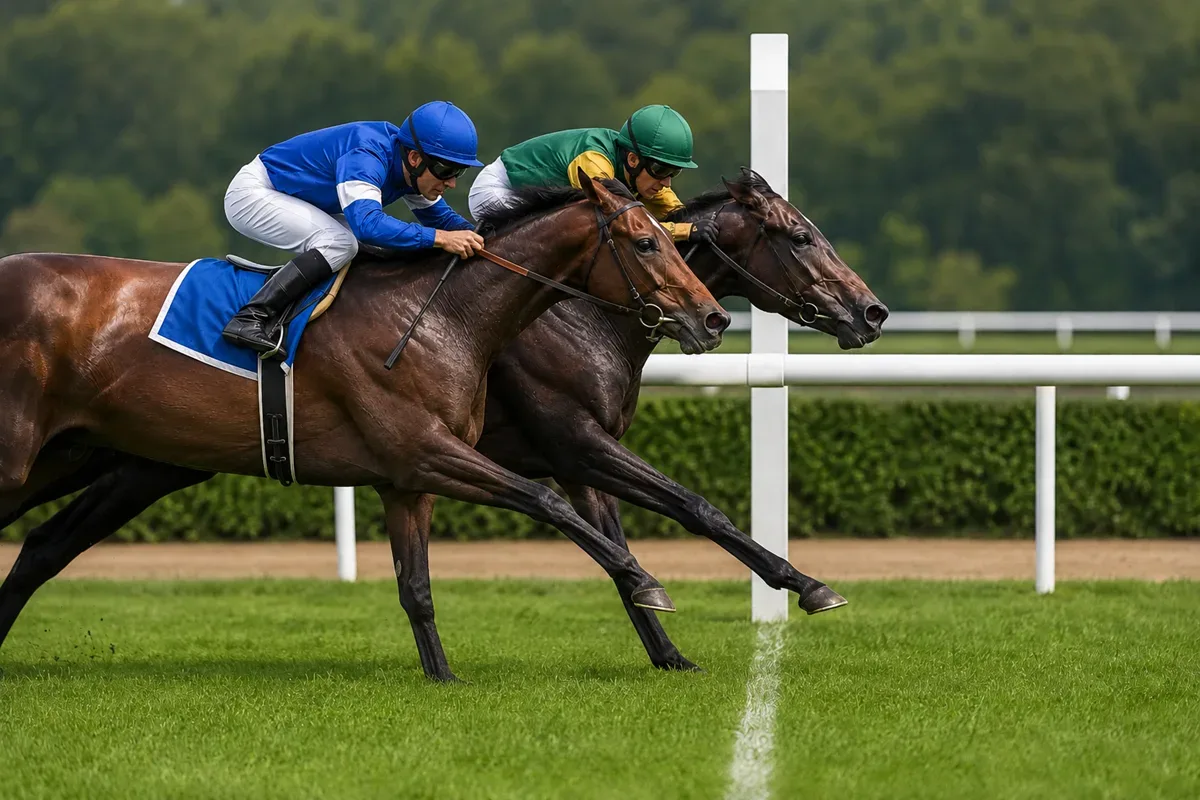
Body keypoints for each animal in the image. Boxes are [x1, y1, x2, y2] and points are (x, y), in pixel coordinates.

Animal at [0, 174, 731, 682]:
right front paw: (645, 580)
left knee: (41, 544)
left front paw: (442, 676)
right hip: (26, 456)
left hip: (84, 457)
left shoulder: (408, 479)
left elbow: (418, 588)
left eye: (679, 240)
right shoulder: (430, 449)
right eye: (647, 242)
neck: (442, 316)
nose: (713, 317)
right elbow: (549, 502)